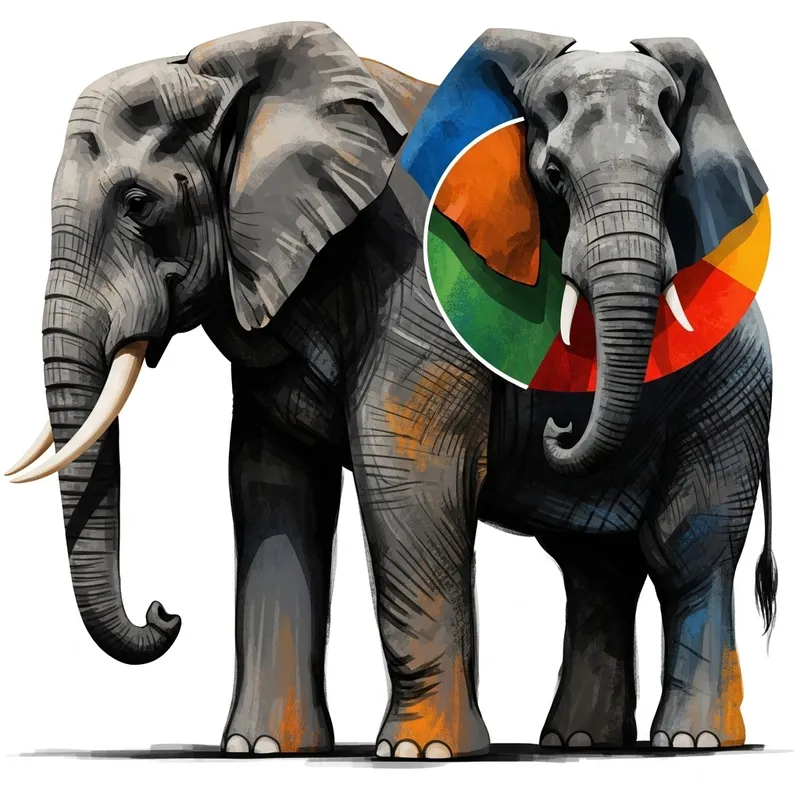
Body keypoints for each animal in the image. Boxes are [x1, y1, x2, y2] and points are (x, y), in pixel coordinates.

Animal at [8, 26, 775, 759]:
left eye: (139, 204)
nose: (165, 613)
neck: (226, 68)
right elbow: (272, 486)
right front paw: (259, 751)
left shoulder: (423, 278)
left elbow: (407, 474)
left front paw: (420, 753)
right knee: (593, 566)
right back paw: (582, 743)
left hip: (730, 399)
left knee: (687, 547)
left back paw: (692, 742)